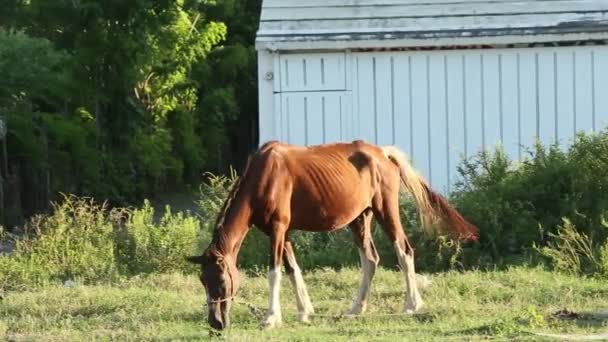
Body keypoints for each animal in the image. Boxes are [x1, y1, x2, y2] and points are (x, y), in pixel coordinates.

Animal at [188, 140, 478, 330]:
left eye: (222, 280)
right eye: (203, 281)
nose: (216, 323)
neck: (265, 176)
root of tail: (382, 153)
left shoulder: (278, 230)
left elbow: (275, 272)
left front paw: (271, 318)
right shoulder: (284, 233)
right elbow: (293, 270)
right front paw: (305, 312)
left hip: (386, 211)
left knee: (404, 251)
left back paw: (411, 305)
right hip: (361, 219)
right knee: (370, 260)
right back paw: (356, 309)